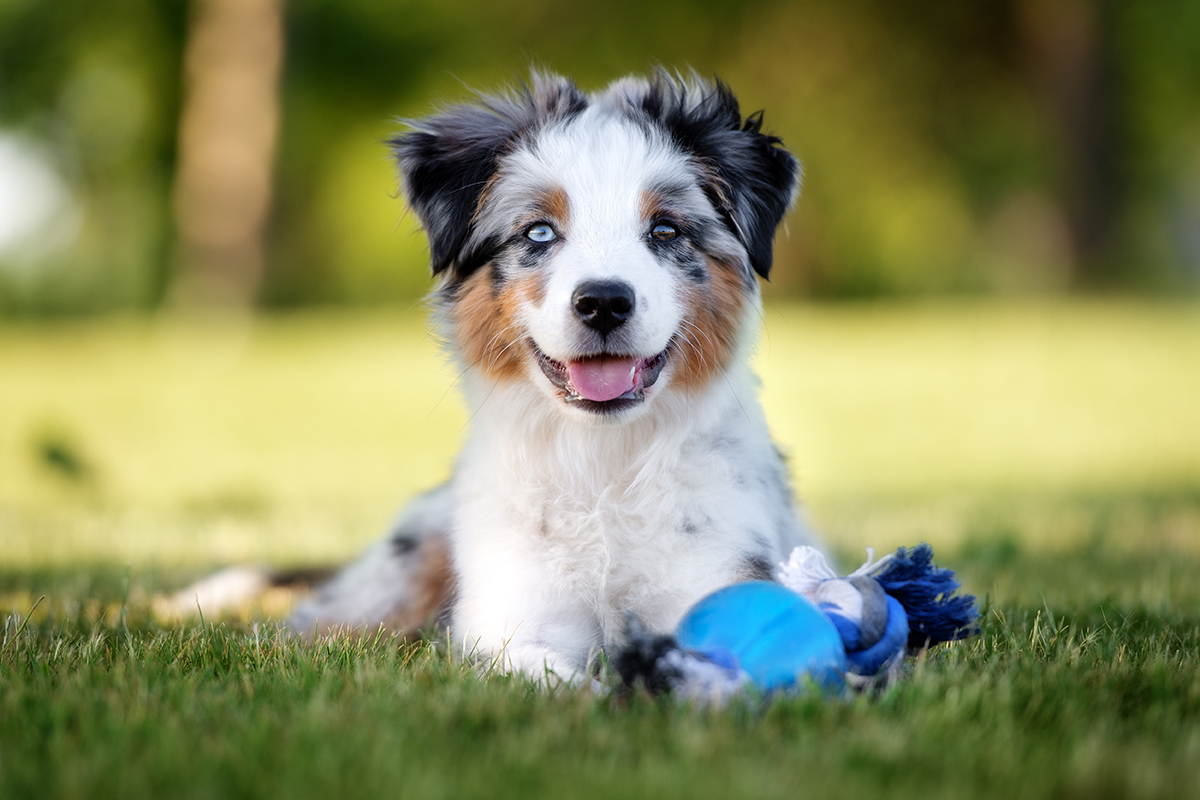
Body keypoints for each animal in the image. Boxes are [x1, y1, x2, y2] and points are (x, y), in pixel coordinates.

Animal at [285, 71, 820, 681]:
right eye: (539, 233)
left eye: (665, 230)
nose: (604, 302)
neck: (602, 465)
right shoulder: (510, 626)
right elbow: (561, 683)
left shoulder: (715, 575)